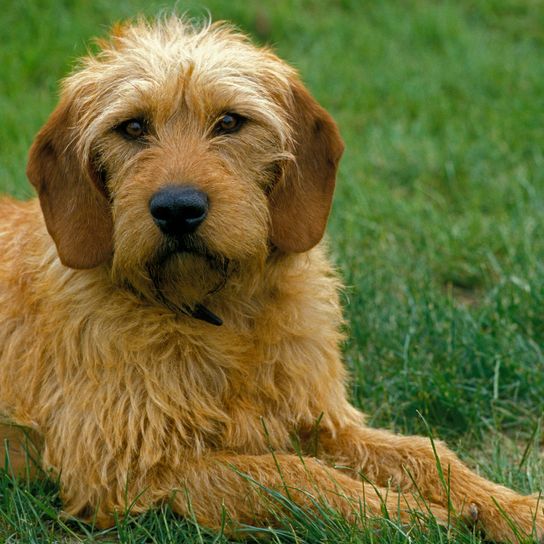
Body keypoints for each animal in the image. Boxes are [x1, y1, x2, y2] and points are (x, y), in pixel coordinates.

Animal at [0, 15, 540, 540]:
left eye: (230, 122)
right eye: (131, 127)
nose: (177, 209)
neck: (216, 312)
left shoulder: (321, 421)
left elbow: (424, 452)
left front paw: (510, 507)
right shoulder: (129, 469)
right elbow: (291, 477)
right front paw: (410, 514)